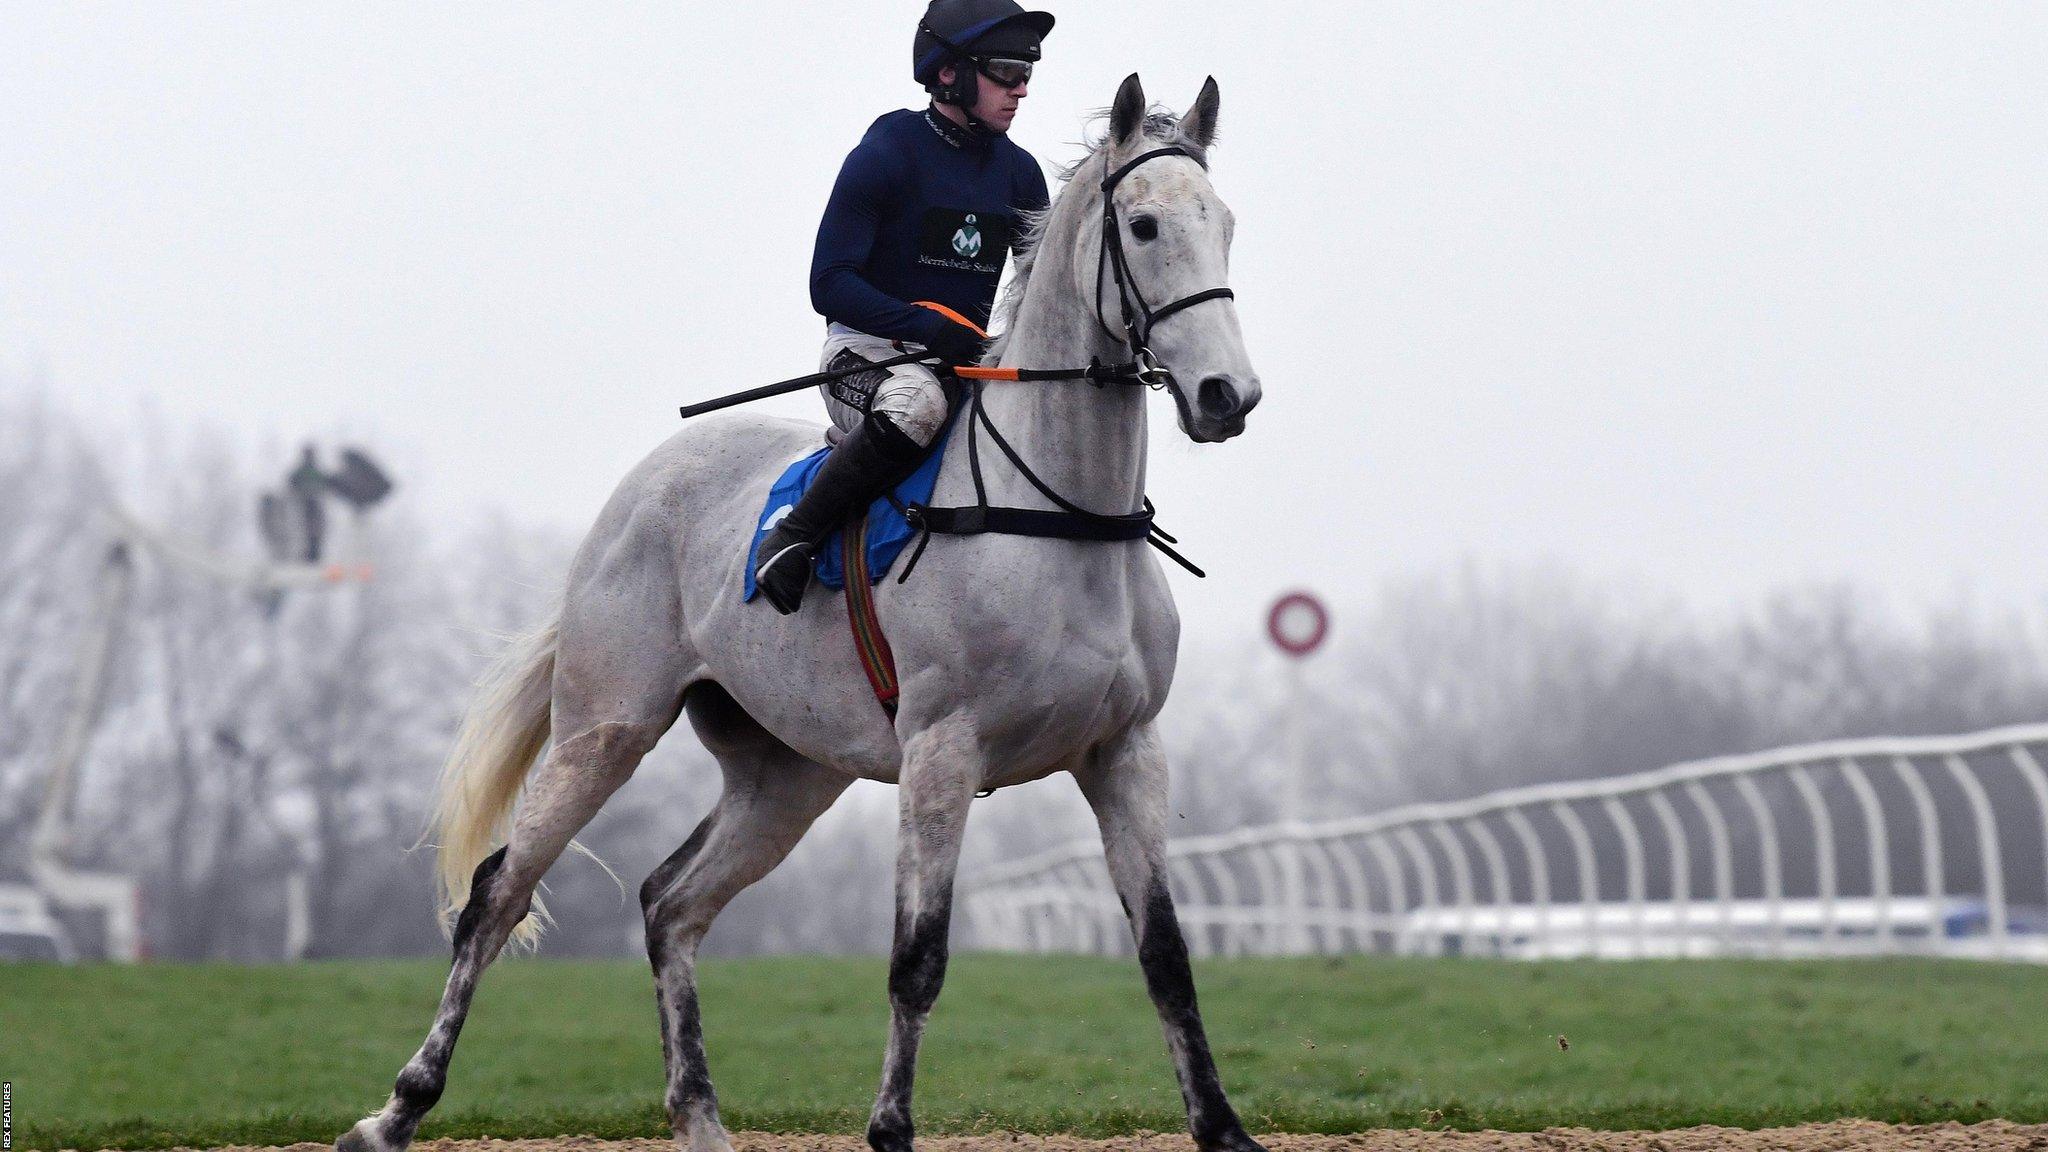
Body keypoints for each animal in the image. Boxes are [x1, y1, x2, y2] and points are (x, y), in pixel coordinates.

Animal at [337, 69, 1261, 1147]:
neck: (1061, 518)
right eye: (1145, 225)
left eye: (1224, 222)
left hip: (786, 776)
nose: (1225, 394)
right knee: (497, 896)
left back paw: (699, 1117)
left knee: (671, 903)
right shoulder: (943, 751)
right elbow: (918, 960)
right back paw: (396, 1109)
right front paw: (890, 1129)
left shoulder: (1125, 751)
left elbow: (1165, 955)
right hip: (603, 729)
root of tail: (634, 492)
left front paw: (1223, 1127)